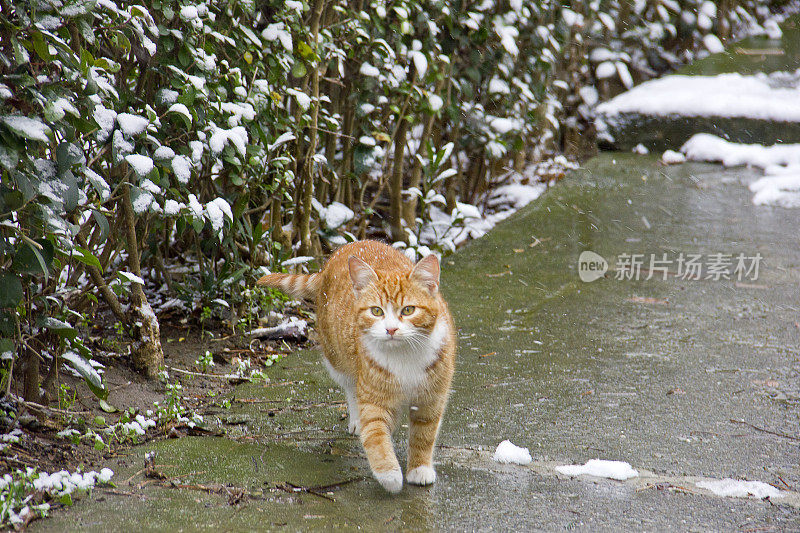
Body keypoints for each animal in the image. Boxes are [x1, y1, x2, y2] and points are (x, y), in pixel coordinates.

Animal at [258, 239, 456, 492]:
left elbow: (424, 435)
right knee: (351, 389)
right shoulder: (373, 399)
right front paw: (389, 474)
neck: (404, 356)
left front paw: (419, 468)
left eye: (409, 310)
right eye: (376, 311)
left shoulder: (432, 398)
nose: (391, 329)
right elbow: (376, 435)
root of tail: (342, 250)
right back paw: (358, 421)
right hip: (338, 359)